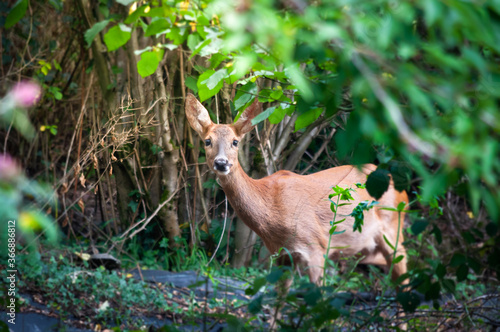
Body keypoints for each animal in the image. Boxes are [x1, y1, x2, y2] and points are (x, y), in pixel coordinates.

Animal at [186, 92, 408, 308]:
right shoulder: (282, 255)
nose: (221, 163)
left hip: (393, 229)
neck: (271, 207)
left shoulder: (316, 247)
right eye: (207, 141)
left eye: (235, 141)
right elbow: (280, 299)